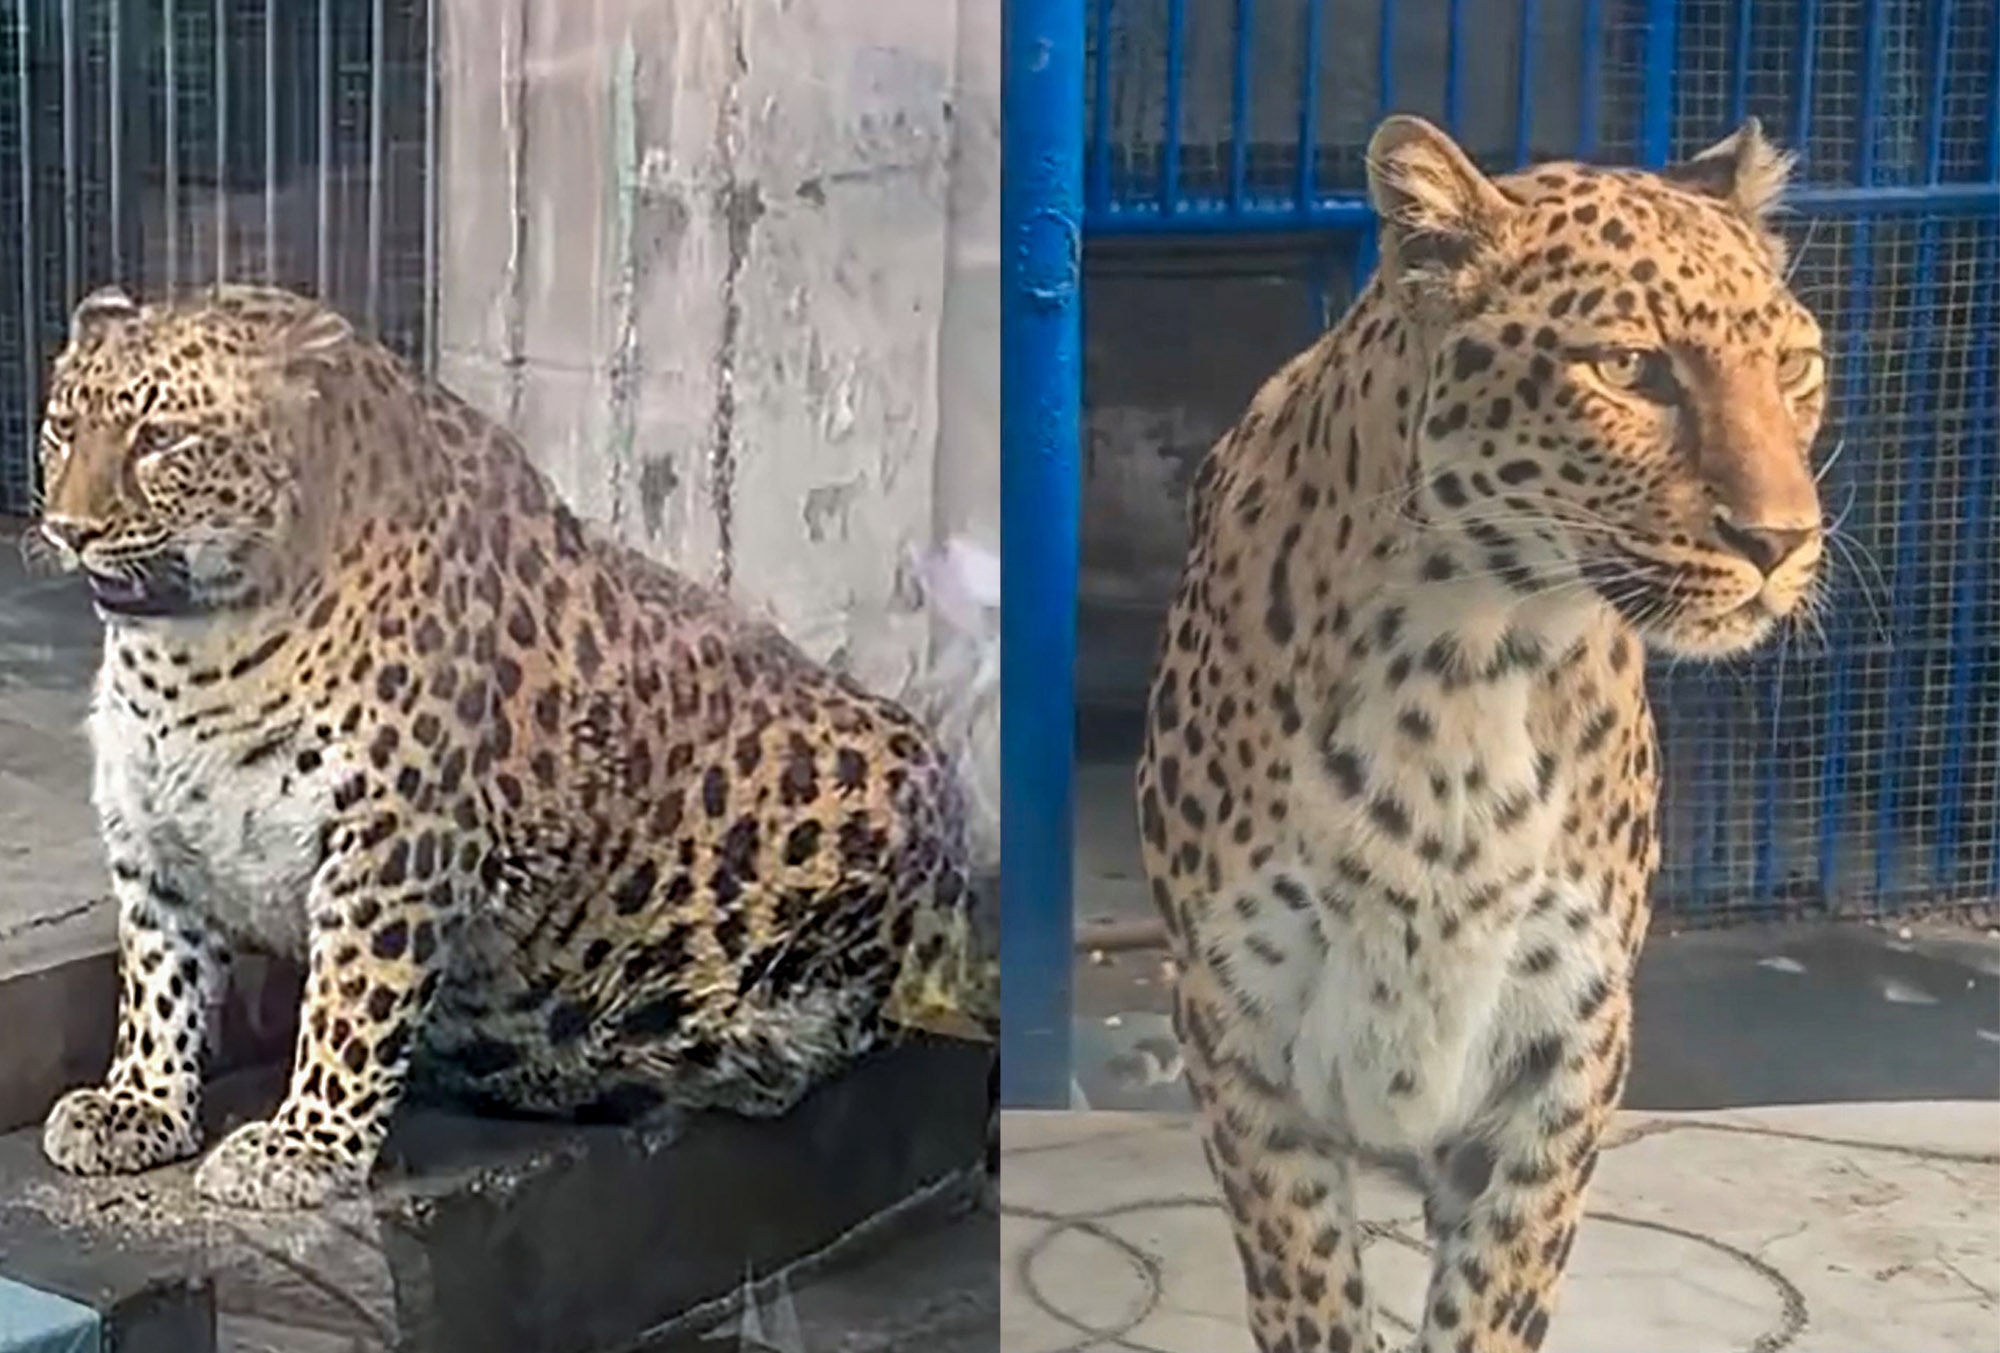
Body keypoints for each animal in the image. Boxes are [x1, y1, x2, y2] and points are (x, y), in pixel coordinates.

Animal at [30, 282, 988, 1211]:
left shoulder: (395, 844)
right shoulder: (150, 836)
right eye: (62, 427)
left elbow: (351, 1002)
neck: (194, 656)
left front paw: (301, 1147)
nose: (70, 528)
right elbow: (159, 978)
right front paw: (138, 1104)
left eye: (162, 439)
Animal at [1135, 115, 1828, 1352]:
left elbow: (1495, 1289)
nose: (1779, 541)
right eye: (1629, 370)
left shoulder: (1563, 1043)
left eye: (1792, 366)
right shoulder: (1239, 1034)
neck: (1464, 661)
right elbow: (1308, 1286)